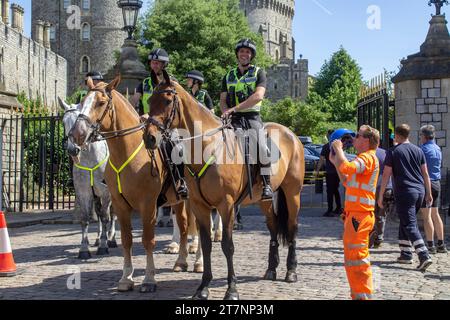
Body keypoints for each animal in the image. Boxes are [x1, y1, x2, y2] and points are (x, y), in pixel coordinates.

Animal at [59, 98, 117, 260]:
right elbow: (85, 218)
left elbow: (106, 217)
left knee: (112, 214)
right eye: (64, 122)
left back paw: (111, 239)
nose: (72, 149)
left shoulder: (106, 191)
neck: (90, 157)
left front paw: (104, 245)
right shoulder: (84, 191)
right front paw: (84, 248)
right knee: (98, 212)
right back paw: (98, 238)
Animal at [70, 76, 200, 294]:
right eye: (82, 103)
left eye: (101, 103)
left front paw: (148, 279)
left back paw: (198, 262)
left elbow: (148, 240)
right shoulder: (120, 205)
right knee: (183, 226)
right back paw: (181, 261)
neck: (127, 152)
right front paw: (126, 278)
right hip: (178, 200)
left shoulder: (147, 205)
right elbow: (127, 240)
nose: (76, 135)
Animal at [144, 70, 306, 300]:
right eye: (149, 100)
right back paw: (271, 269)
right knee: (273, 226)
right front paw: (203, 287)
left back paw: (291, 271)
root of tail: (290, 134)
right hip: (263, 199)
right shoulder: (200, 206)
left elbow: (228, 246)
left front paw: (232, 290)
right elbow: (206, 244)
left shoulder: (226, 205)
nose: (149, 137)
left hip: (292, 194)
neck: (207, 147)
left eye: (167, 101)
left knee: (292, 228)